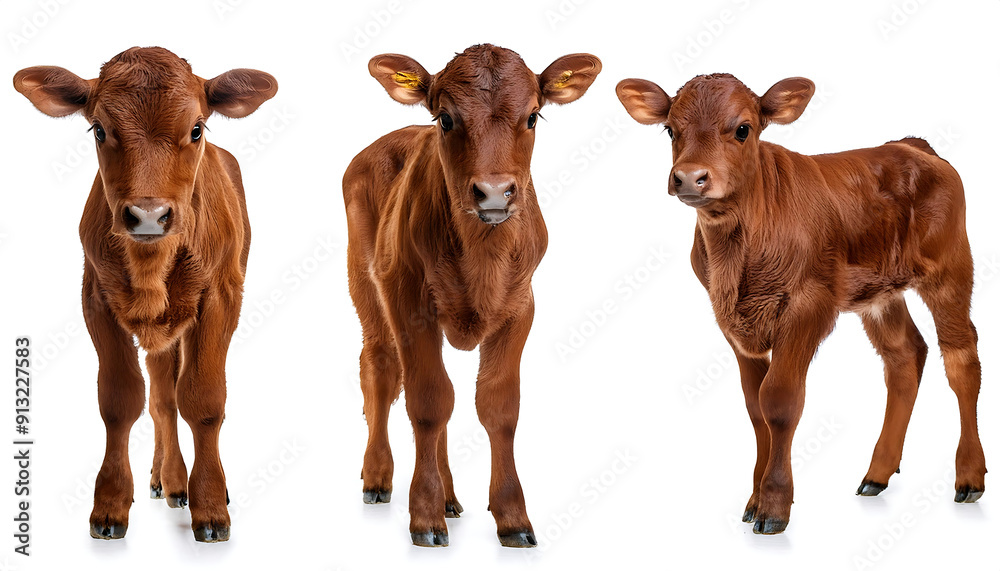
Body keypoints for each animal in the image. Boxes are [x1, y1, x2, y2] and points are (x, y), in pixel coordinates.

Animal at [13, 47, 277, 542]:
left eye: (196, 128)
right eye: (99, 129)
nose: (149, 215)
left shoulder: (221, 297)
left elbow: (204, 401)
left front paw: (210, 506)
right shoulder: (94, 297)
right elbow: (121, 401)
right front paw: (110, 504)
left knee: (172, 396)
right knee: (161, 400)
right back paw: (167, 480)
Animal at [343, 44, 601, 547]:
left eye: (533, 116)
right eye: (445, 118)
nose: (495, 192)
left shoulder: (521, 308)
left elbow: (496, 407)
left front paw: (512, 516)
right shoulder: (407, 300)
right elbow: (427, 402)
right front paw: (424, 516)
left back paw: (448, 495)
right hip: (365, 283)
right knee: (380, 368)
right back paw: (379, 477)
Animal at [616, 73, 986, 534]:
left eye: (743, 129)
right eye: (670, 129)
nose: (688, 177)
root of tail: (910, 146)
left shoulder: (808, 306)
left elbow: (779, 401)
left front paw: (774, 505)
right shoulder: (732, 324)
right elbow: (755, 406)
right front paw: (754, 499)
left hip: (950, 270)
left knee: (961, 359)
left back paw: (969, 476)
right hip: (878, 292)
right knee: (904, 356)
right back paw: (877, 474)